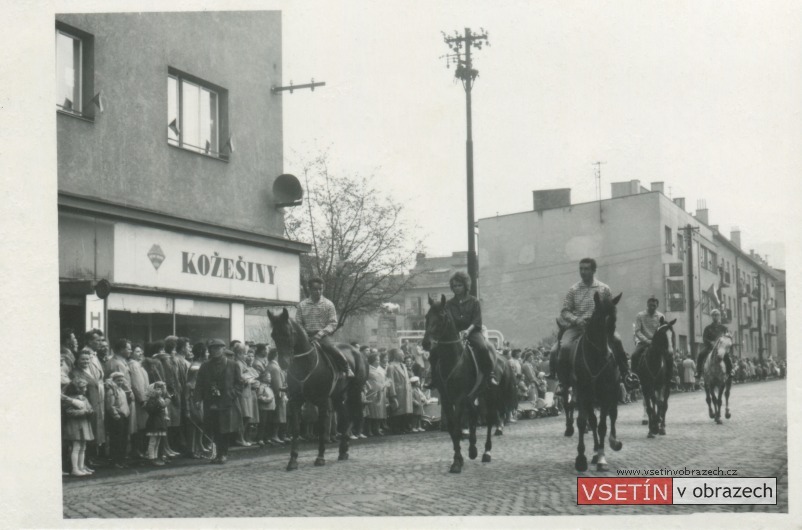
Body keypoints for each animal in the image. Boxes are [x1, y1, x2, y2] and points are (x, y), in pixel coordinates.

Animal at [266, 308, 366, 468]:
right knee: (345, 418)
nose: (283, 362)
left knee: (351, 416)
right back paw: (342, 450)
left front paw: (320, 457)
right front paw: (293, 460)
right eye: (273, 334)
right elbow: (296, 429)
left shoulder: (323, 401)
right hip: (337, 397)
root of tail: (357, 352)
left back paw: (344, 449)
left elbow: (322, 429)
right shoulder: (295, 401)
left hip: (354, 392)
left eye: (288, 333)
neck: (306, 364)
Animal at [418, 294, 512, 472]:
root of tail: (498, 355)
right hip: (472, 396)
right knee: (474, 415)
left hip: (489, 394)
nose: (426, 343)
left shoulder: (460, 398)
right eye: (426, 317)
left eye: (442, 317)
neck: (453, 360)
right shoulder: (447, 399)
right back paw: (473, 448)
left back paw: (486, 452)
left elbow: (457, 426)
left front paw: (457, 461)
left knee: (490, 419)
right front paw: (459, 458)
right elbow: (452, 427)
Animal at [556, 292, 624, 470]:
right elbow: (583, 421)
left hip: (613, 391)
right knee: (591, 420)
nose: (608, 355)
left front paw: (601, 458)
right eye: (598, 319)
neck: (596, 358)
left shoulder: (606, 393)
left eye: (614, 320)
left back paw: (613, 442)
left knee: (612, 415)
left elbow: (602, 425)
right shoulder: (582, 393)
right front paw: (581, 458)